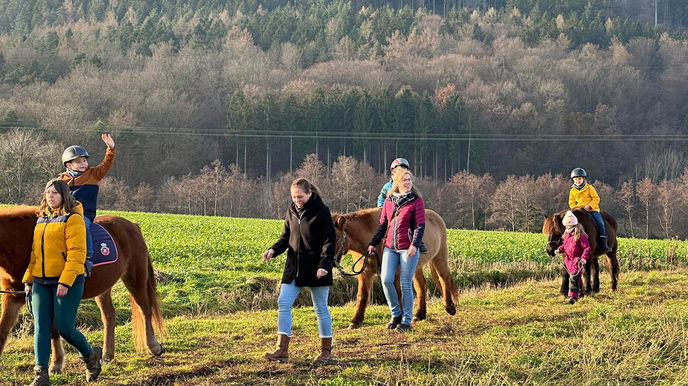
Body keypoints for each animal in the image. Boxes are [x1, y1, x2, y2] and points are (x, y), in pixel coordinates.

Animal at [0, 207, 165, 372]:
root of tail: (133, 226)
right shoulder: (13, 297)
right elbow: (3, 329)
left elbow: (54, 330)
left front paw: (56, 364)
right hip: (103, 286)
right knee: (109, 316)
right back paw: (107, 355)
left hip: (135, 278)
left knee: (145, 309)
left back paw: (154, 347)